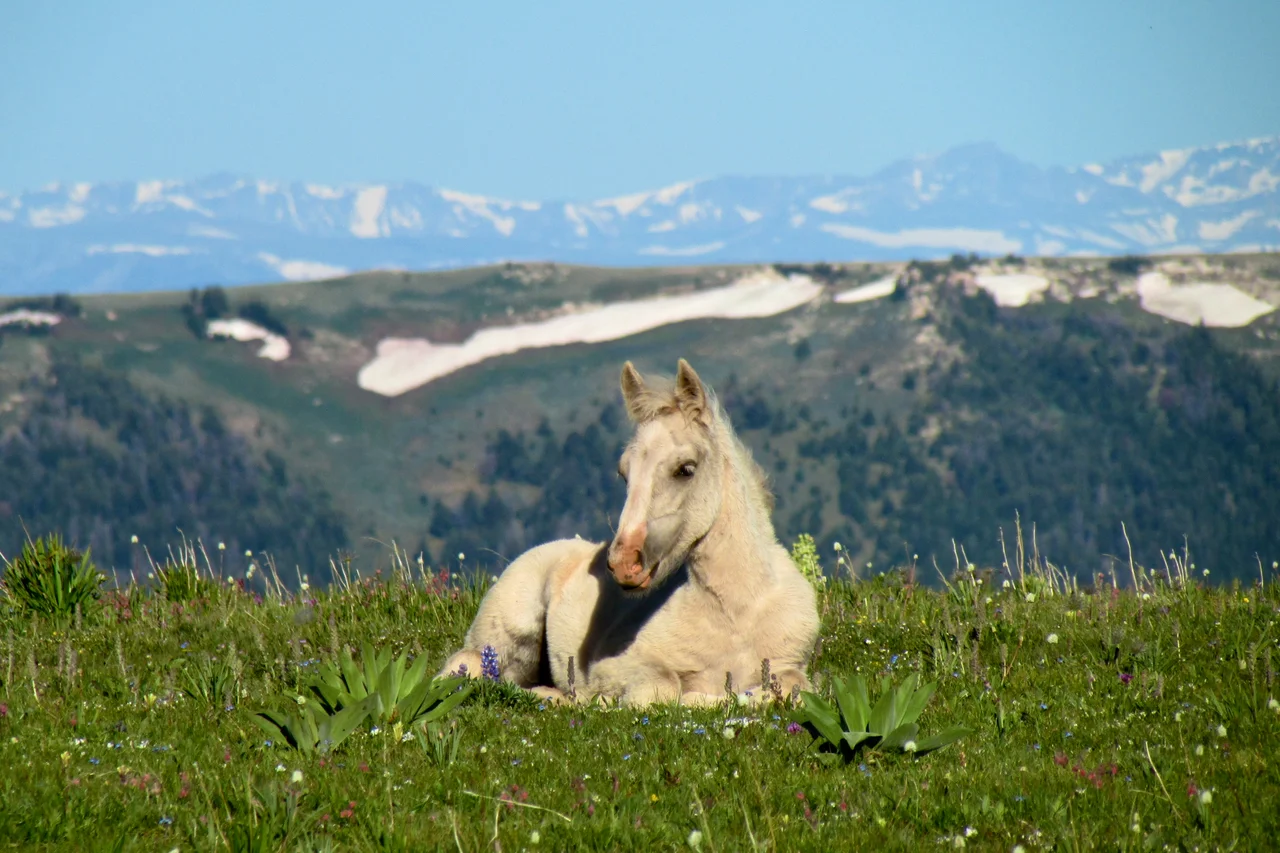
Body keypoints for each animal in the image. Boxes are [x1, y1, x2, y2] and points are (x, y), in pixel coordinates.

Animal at [438, 358, 820, 706]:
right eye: (624, 473)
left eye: (686, 469)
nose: (623, 564)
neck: (734, 616)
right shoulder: (618, 666)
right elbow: (664, 690)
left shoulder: (788, 663)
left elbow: (792, 689)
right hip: (506, 632)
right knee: (468, 666)